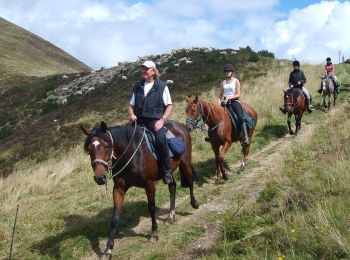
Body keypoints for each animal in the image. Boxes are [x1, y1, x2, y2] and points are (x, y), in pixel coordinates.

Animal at [80, 121, 198, 255]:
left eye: (107, 146)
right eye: (89, 150)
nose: (100, 178)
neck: (131, 155)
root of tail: (181, 126)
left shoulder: (149, 184)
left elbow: (151, 208)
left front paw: (154, 233)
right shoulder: (119, 189)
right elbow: (115, 217)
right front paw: (108, 249)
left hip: (185, 163)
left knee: (190, 181)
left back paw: (194, 203)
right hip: (168, 172)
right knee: (172, 187)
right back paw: (170, 216)